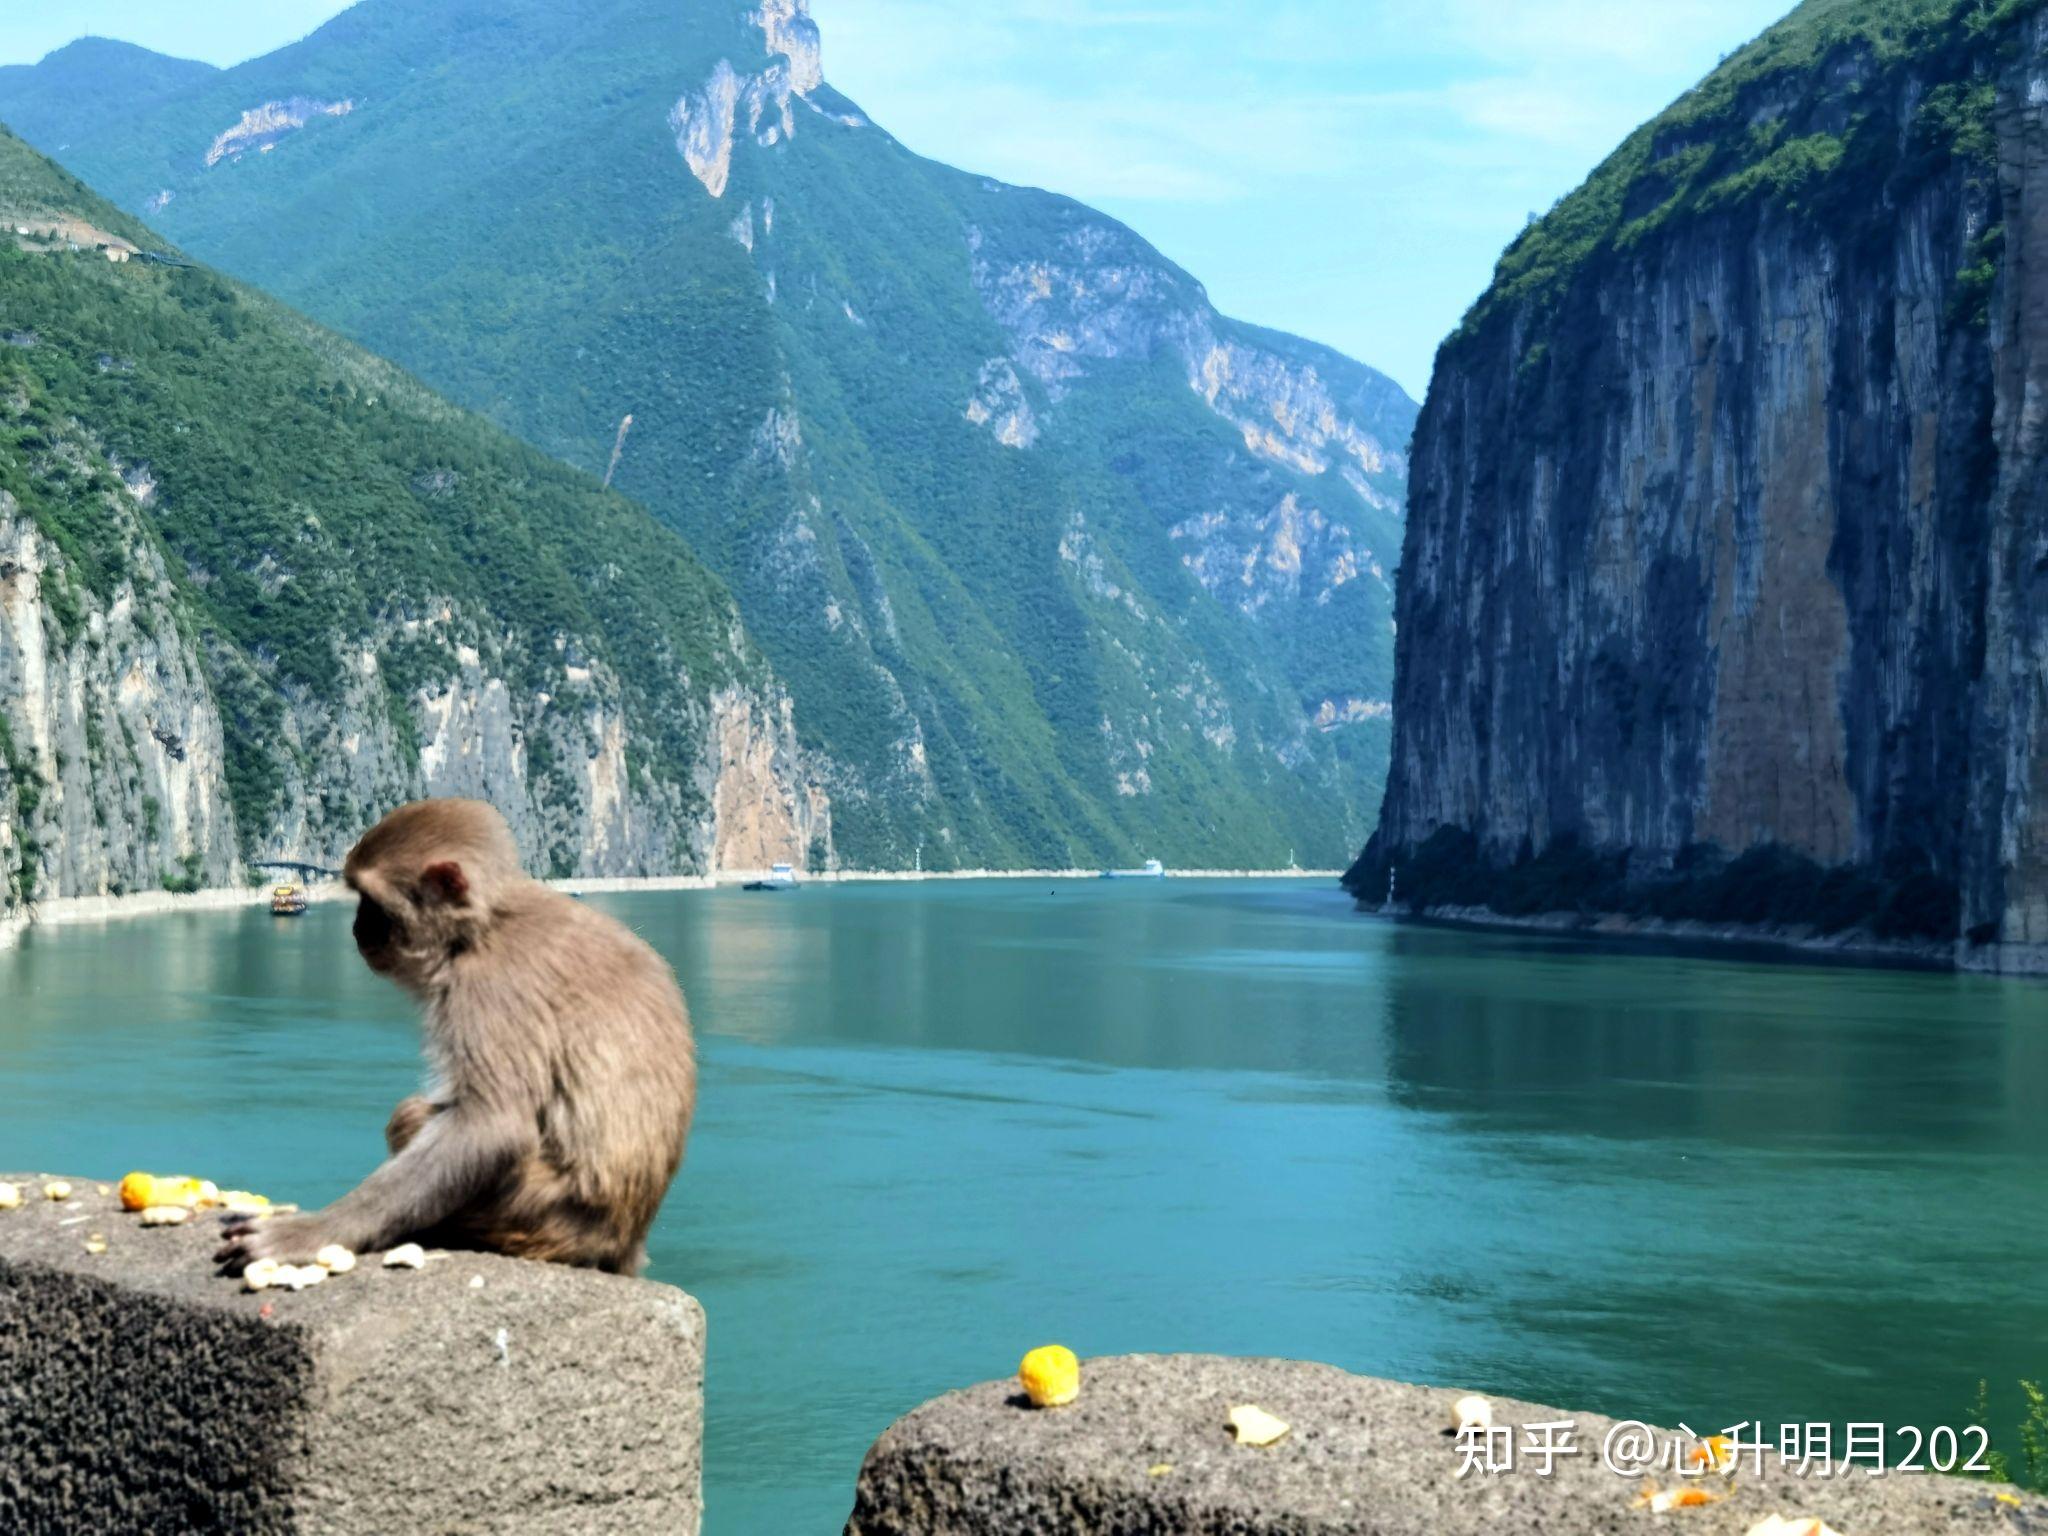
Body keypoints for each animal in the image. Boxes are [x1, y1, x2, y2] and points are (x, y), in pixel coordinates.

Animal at [215, 798, 696, 1277]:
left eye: (372, 903)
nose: (356, 928)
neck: (483, 926)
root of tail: (624, 1242)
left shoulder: (491, 985)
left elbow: (490, 1126)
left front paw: (312, 1231)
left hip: (532, 1213)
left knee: (413, 1115)